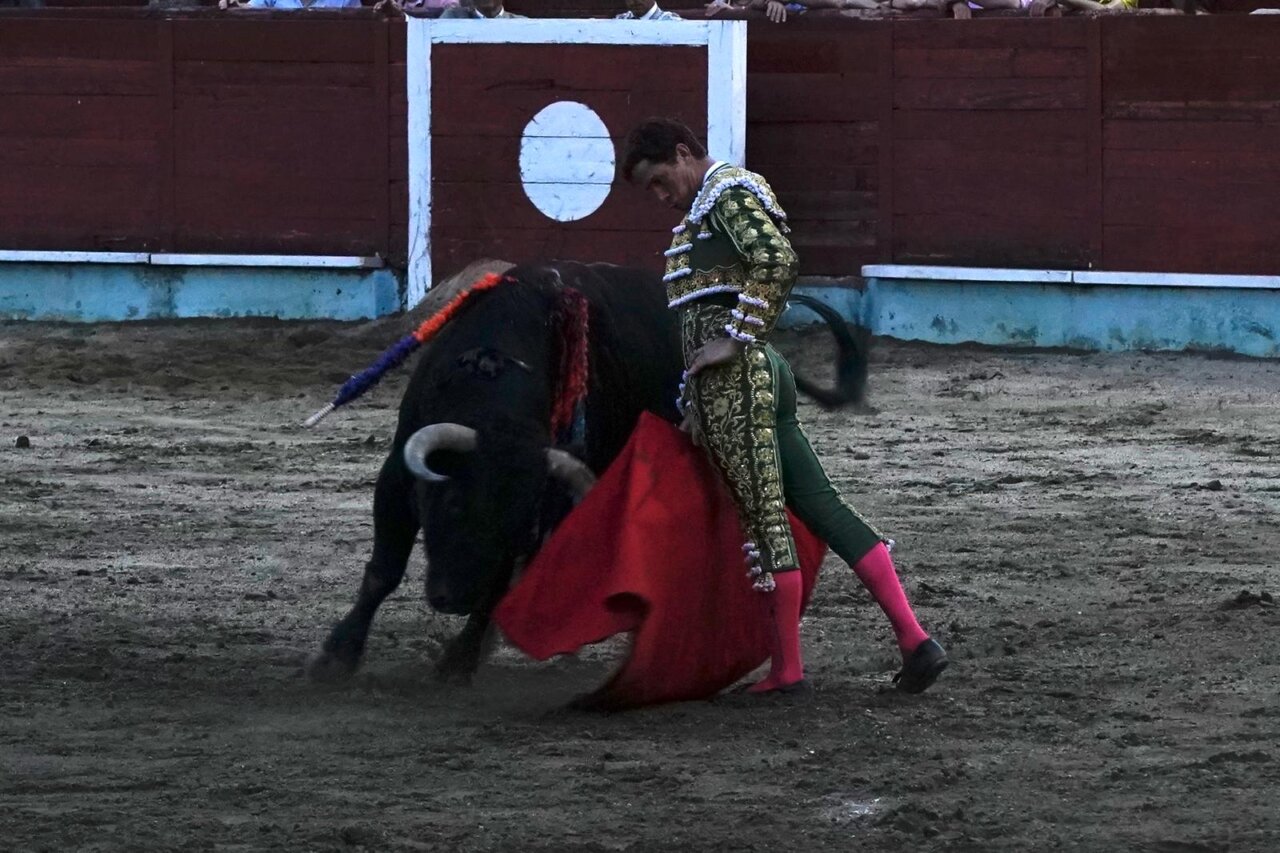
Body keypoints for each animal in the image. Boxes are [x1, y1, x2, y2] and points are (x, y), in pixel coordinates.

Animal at [306, 260, 867, 684]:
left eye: (514, 528)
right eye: (455, 504)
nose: (453, 597)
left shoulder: (539, 509)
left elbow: (501, 584)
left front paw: (459, 660)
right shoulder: (397, 476)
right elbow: (383, 570)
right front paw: (337, 656)